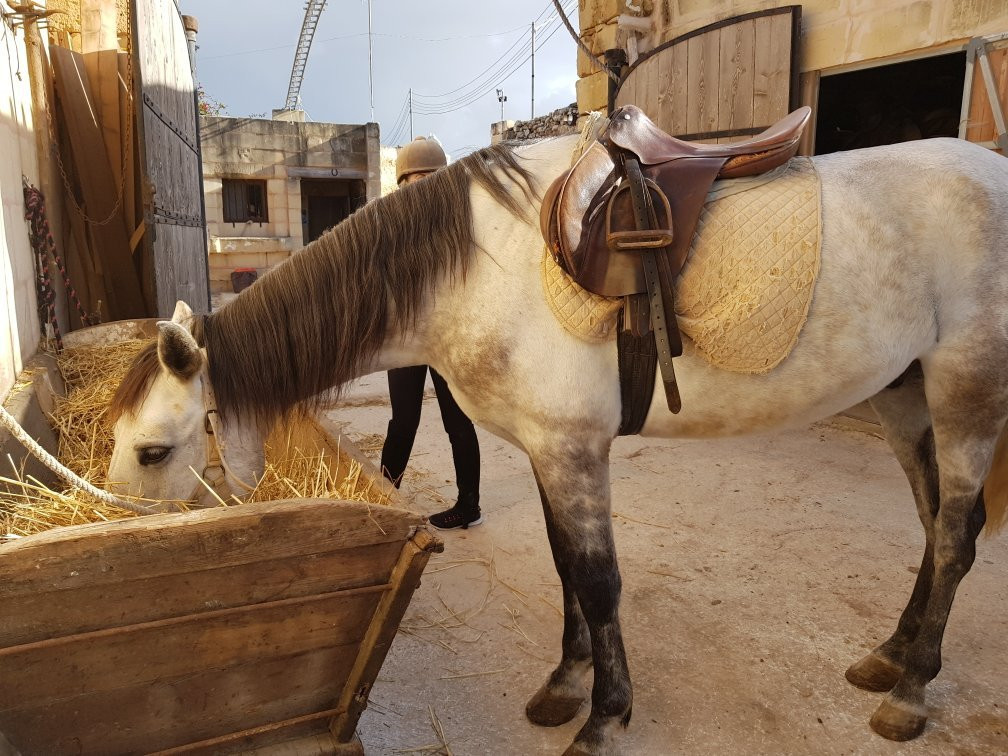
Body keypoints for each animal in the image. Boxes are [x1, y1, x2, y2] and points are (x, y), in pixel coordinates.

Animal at [107, 133, 1008, 755]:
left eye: (153, 451)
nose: (124, 538)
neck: (470, 272)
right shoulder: (546, 449)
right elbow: (566, 568)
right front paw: (566, 686)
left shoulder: (574, 450)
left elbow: (600, 582)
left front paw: (605, 719)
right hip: (905, 395)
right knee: (933, 525)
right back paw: (891, 655)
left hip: (967, 395)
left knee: (957, 536)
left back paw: (910, 693)